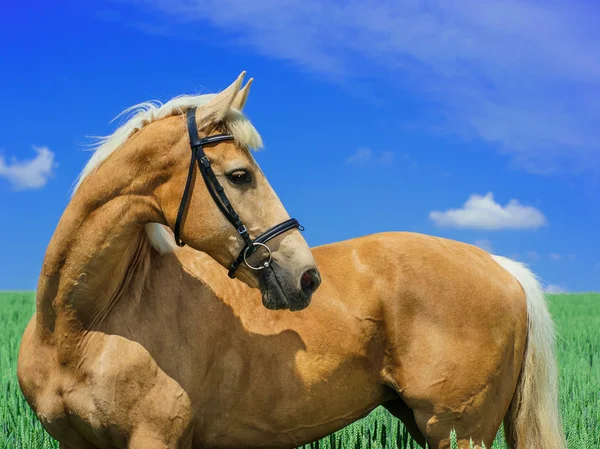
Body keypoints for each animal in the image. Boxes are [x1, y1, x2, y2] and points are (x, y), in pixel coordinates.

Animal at [16, 72, 564, 448]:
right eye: (240, 175)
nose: (306, 277)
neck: (82, 325)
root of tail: (501, 266)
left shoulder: (154, 437)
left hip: (458, 431)